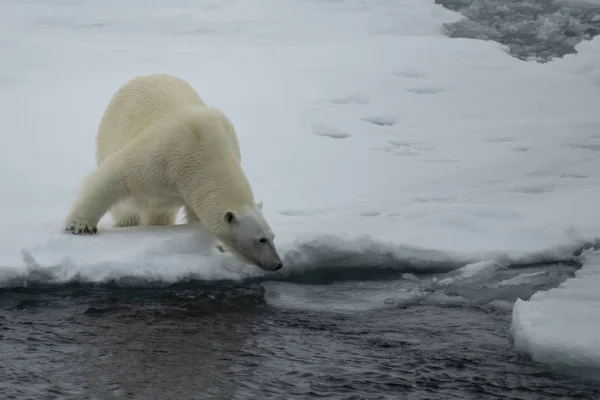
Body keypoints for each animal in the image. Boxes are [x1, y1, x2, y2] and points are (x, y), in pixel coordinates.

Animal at [64, 72, 284, 272]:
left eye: (273, 236)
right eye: (261, 239)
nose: (278, 264)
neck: (207, 153)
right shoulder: (165, 154)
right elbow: (115, 175)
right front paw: (81, 226)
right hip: (108, 132)